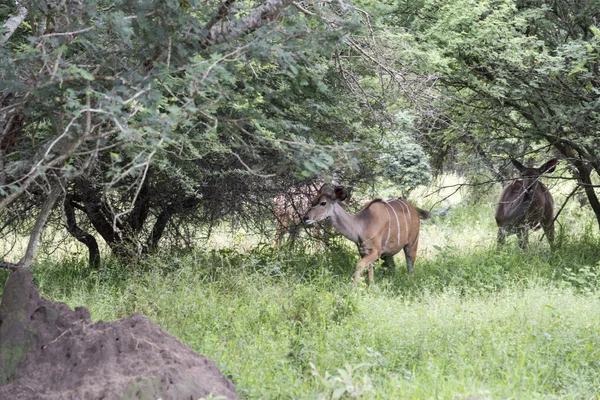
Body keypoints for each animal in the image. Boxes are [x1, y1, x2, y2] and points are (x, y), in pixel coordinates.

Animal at [304, 185, 432, 284]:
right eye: (313, 201)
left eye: (323, 203)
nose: (306, 217)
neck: (362, 225)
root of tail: (415, 211)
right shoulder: (364, 252)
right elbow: (370, 271)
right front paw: (371, 288)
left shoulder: (376, 252)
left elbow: (359, 265)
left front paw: (352, 288)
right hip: (388, 254)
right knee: (393, 267)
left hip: (411, 244)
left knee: (410, 267)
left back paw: (410, 283)